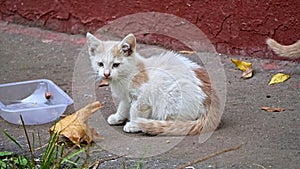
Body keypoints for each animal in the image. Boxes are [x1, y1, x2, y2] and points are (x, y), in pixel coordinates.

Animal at [86, 33, 220, 135]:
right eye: (100, 64)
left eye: (116, 65)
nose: (106, 74)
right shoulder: (126, 96)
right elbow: (124, 106)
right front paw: (118, 117)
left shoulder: (143, 96)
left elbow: (136, 111)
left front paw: (134, 124)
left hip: (171, 95)